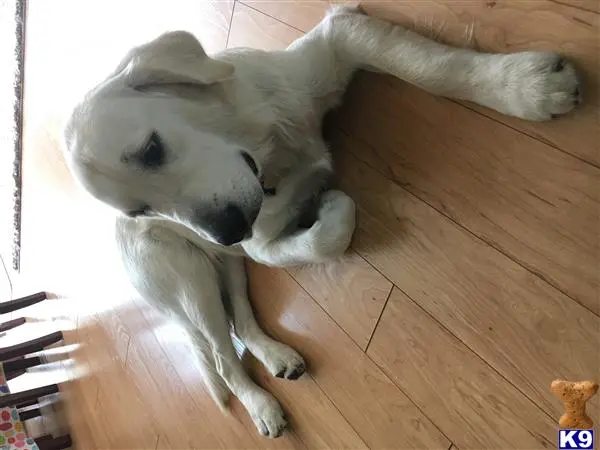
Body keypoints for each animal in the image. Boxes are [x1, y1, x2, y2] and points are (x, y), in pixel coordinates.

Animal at [62, 5, 580, 438]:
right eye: (139, 210)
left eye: (151, 150)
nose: (228, 229)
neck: (270, 157)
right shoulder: (261, 242)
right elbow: (319, 241)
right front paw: (330, 206)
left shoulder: (335, 40)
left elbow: (428, 69)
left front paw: (521, 89)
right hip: (189, 281)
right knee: (222, 356)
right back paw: (261, 407)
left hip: (224, 266)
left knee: (242, 322)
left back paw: (277, 357)